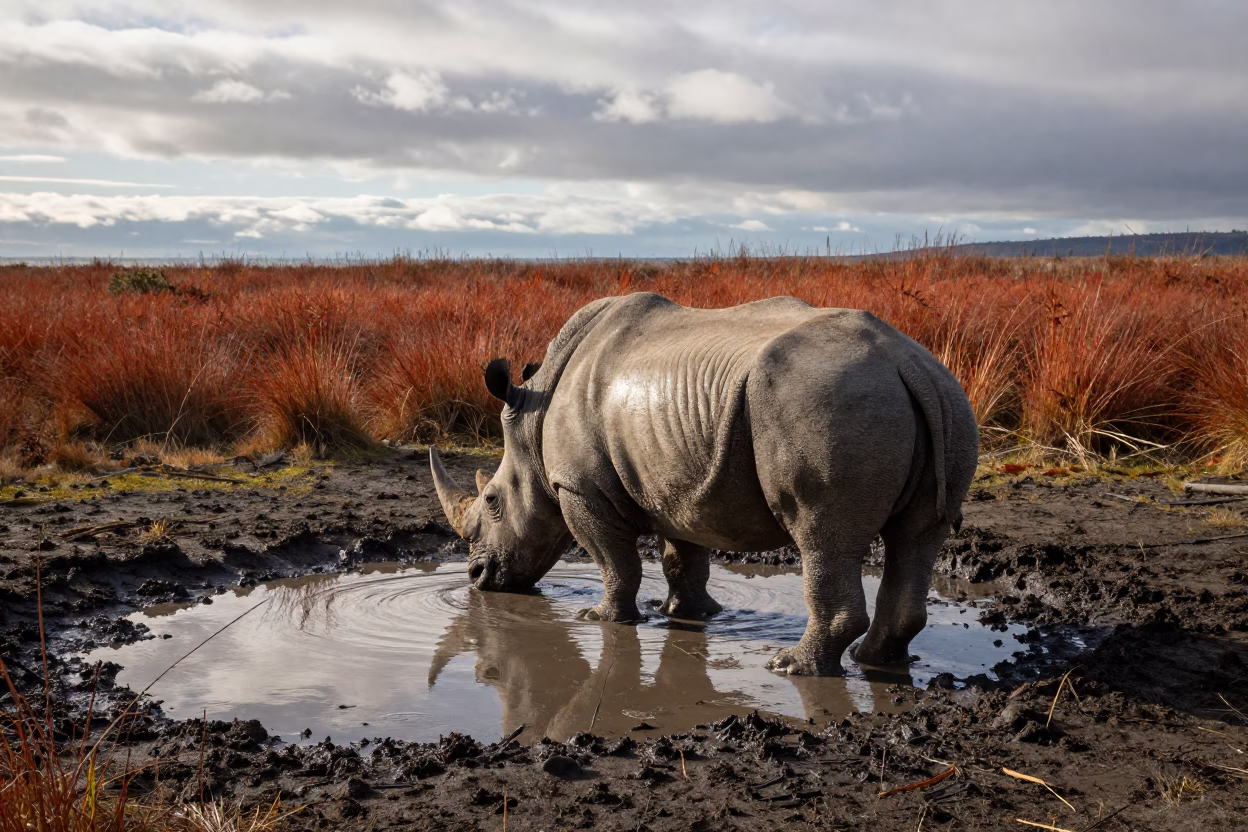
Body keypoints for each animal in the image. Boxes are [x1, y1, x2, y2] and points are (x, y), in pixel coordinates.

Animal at [430, 292, 978, 675]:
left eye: (493, 501)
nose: (477, 577)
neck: (534, 423)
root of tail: (907, 363)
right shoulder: (674, 482)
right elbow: (683, 556)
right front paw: (684, 613)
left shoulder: (579, 488)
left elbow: (614, 561)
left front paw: (600, 619)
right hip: (947, 402)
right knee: (918, 535)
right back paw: (875, 661)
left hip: (830, 403)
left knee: (823, 536)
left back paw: (793, 668)